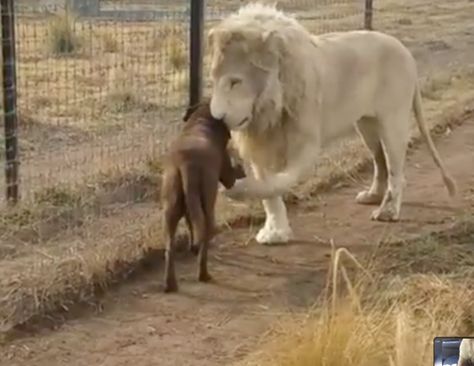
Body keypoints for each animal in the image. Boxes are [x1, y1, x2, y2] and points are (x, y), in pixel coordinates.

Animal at [162, 99, 246, 292]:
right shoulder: (225, 168)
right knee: (206, 236)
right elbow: (231, 176)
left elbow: (190, 223)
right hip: (207, 201)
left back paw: (171, 284)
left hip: (171, 203)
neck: (201, 120)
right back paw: (204, 275)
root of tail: (184, 164)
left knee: (170, 246)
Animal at [207, 2, 456, 244]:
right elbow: (270, 194)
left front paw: (238, 190)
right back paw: (372, 196)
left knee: (396, 168)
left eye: (235, 82)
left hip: (392, 121)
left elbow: (280, 181)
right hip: (366, 125)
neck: (269, 107)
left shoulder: (305, 142)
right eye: (214, 80)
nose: (216, 118)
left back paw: (388, 211)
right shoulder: (261, 142)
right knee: (380, 161)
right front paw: (275, 232)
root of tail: (406, 52)